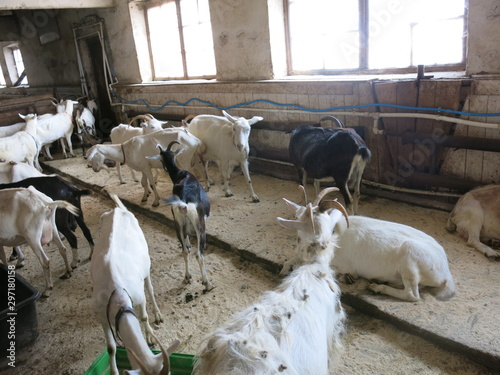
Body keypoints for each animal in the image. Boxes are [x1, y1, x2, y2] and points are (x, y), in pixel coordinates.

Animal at [91, 194, 179, 375]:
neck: (117, 291)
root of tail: (118, 210)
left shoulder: (138, 296)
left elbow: (144, 315)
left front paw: (149, 337)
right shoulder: (101, 311)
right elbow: (110, 347)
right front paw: (114, 371)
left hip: (146, 265)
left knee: (150, 289)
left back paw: (158, 315)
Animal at [154, 142, 213, 292]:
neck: (181, 174)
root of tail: (184, 203)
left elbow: (186, 241)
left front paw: (188, 244)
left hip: (177, 224)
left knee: (184, 252)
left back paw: (187, 277)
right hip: (199, 226)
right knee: (199, 255)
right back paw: (207, 284)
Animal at [282, 188, 458, 302]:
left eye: (316, 224)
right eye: (296, 217)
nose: (299, 241)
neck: (334, 234)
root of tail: (446, 274)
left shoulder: (340, 264)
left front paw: (348, 277)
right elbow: (293, 260)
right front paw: (285, 268)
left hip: (410, 256)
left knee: (412, 295)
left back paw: (376, 287)